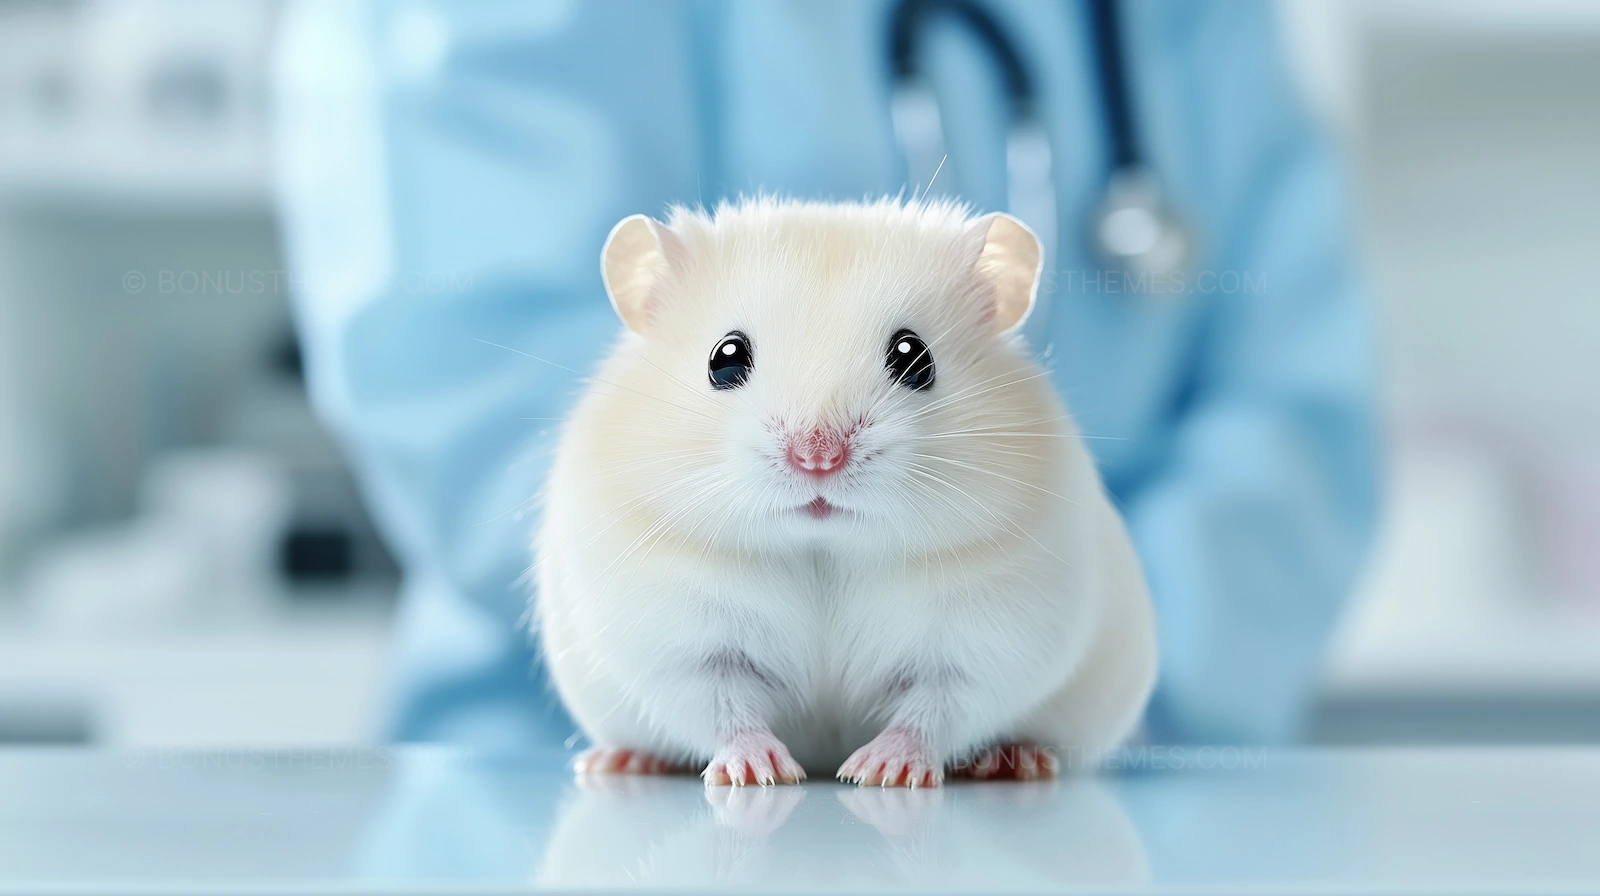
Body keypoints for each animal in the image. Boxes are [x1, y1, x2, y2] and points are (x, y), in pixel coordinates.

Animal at [534, 197, 1156, 787]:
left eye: (914, 356)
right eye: (725, 357)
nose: (818, 458)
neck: (825, 550)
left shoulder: (991, 641)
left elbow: (937, 707)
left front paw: (879, 771)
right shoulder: (675, 642)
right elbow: (720, 706)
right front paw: (762, 771)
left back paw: (1015, 760)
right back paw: (618, 760)